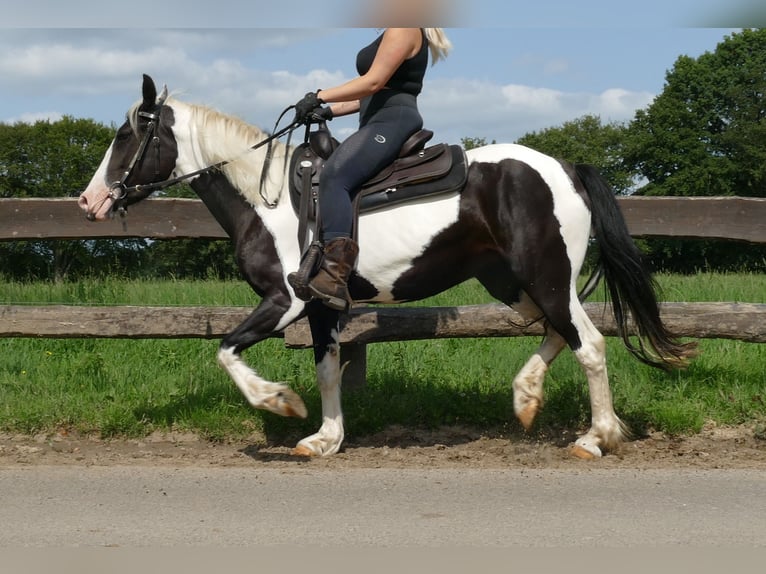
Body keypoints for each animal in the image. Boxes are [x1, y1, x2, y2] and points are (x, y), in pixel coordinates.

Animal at [78, 74, 696, 462]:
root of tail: (565, 168)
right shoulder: (322, 305)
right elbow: (327, 371)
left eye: (126, 134)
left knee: (588, 343)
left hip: (545, 278)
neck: (268, 198)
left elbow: (226, 350)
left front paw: (279, 402)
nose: (91, 200)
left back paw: (596, 437)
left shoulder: (286, 299)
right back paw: (526, 398)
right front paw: (324, 438)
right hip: (512, 283)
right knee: (556, 332)